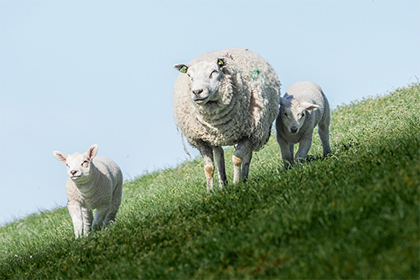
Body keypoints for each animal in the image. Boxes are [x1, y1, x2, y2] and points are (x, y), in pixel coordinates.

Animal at [172, 48, 280, 192]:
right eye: (189, 75)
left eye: (214, 72)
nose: (197, 92)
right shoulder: (201, 140)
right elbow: (208, 167)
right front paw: (210, 191)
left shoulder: (248, 133)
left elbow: (237, 158)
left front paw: (236, 183)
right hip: (213, 137)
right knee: (219, 154)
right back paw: (222, 183)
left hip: (255, 133)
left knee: (247, 156)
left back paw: (244, 179)